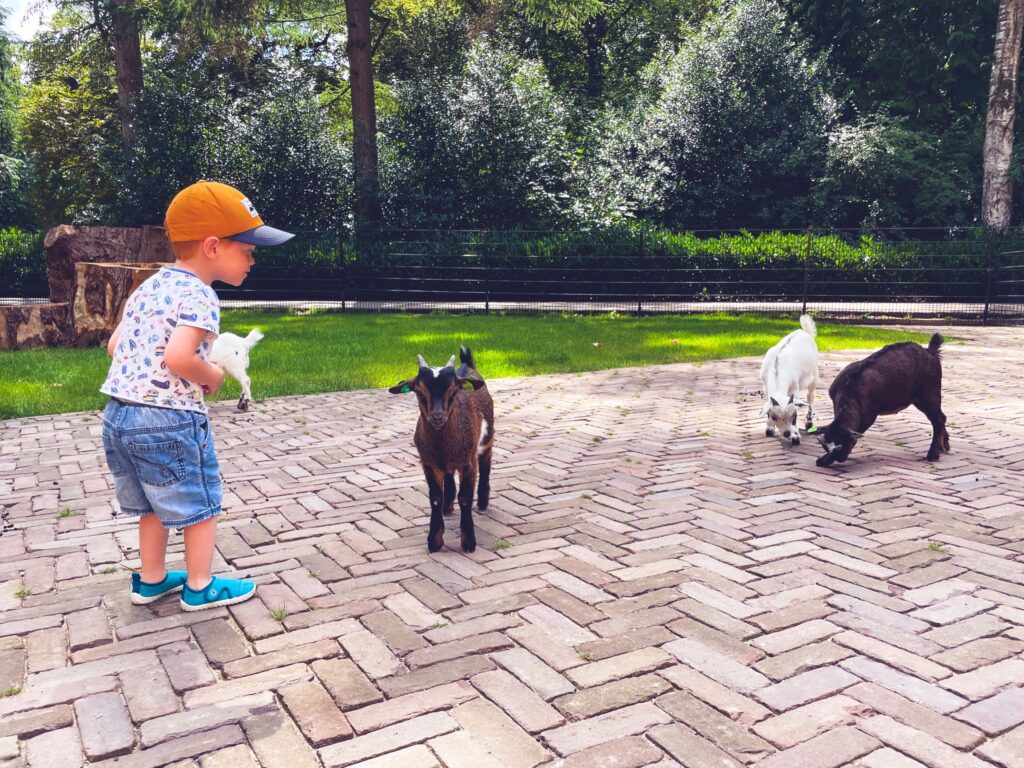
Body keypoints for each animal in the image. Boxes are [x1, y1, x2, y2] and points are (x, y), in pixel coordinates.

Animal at [765, 313, 819, 444]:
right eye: (774, 416)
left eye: (794, 417)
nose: (787, 433)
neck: (777, 368)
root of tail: (805, 332)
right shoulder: (764, 387)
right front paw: (769, 428)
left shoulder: (795, 388)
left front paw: (795, 437)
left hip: (814, 376)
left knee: (810, 397)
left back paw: (809, 422)